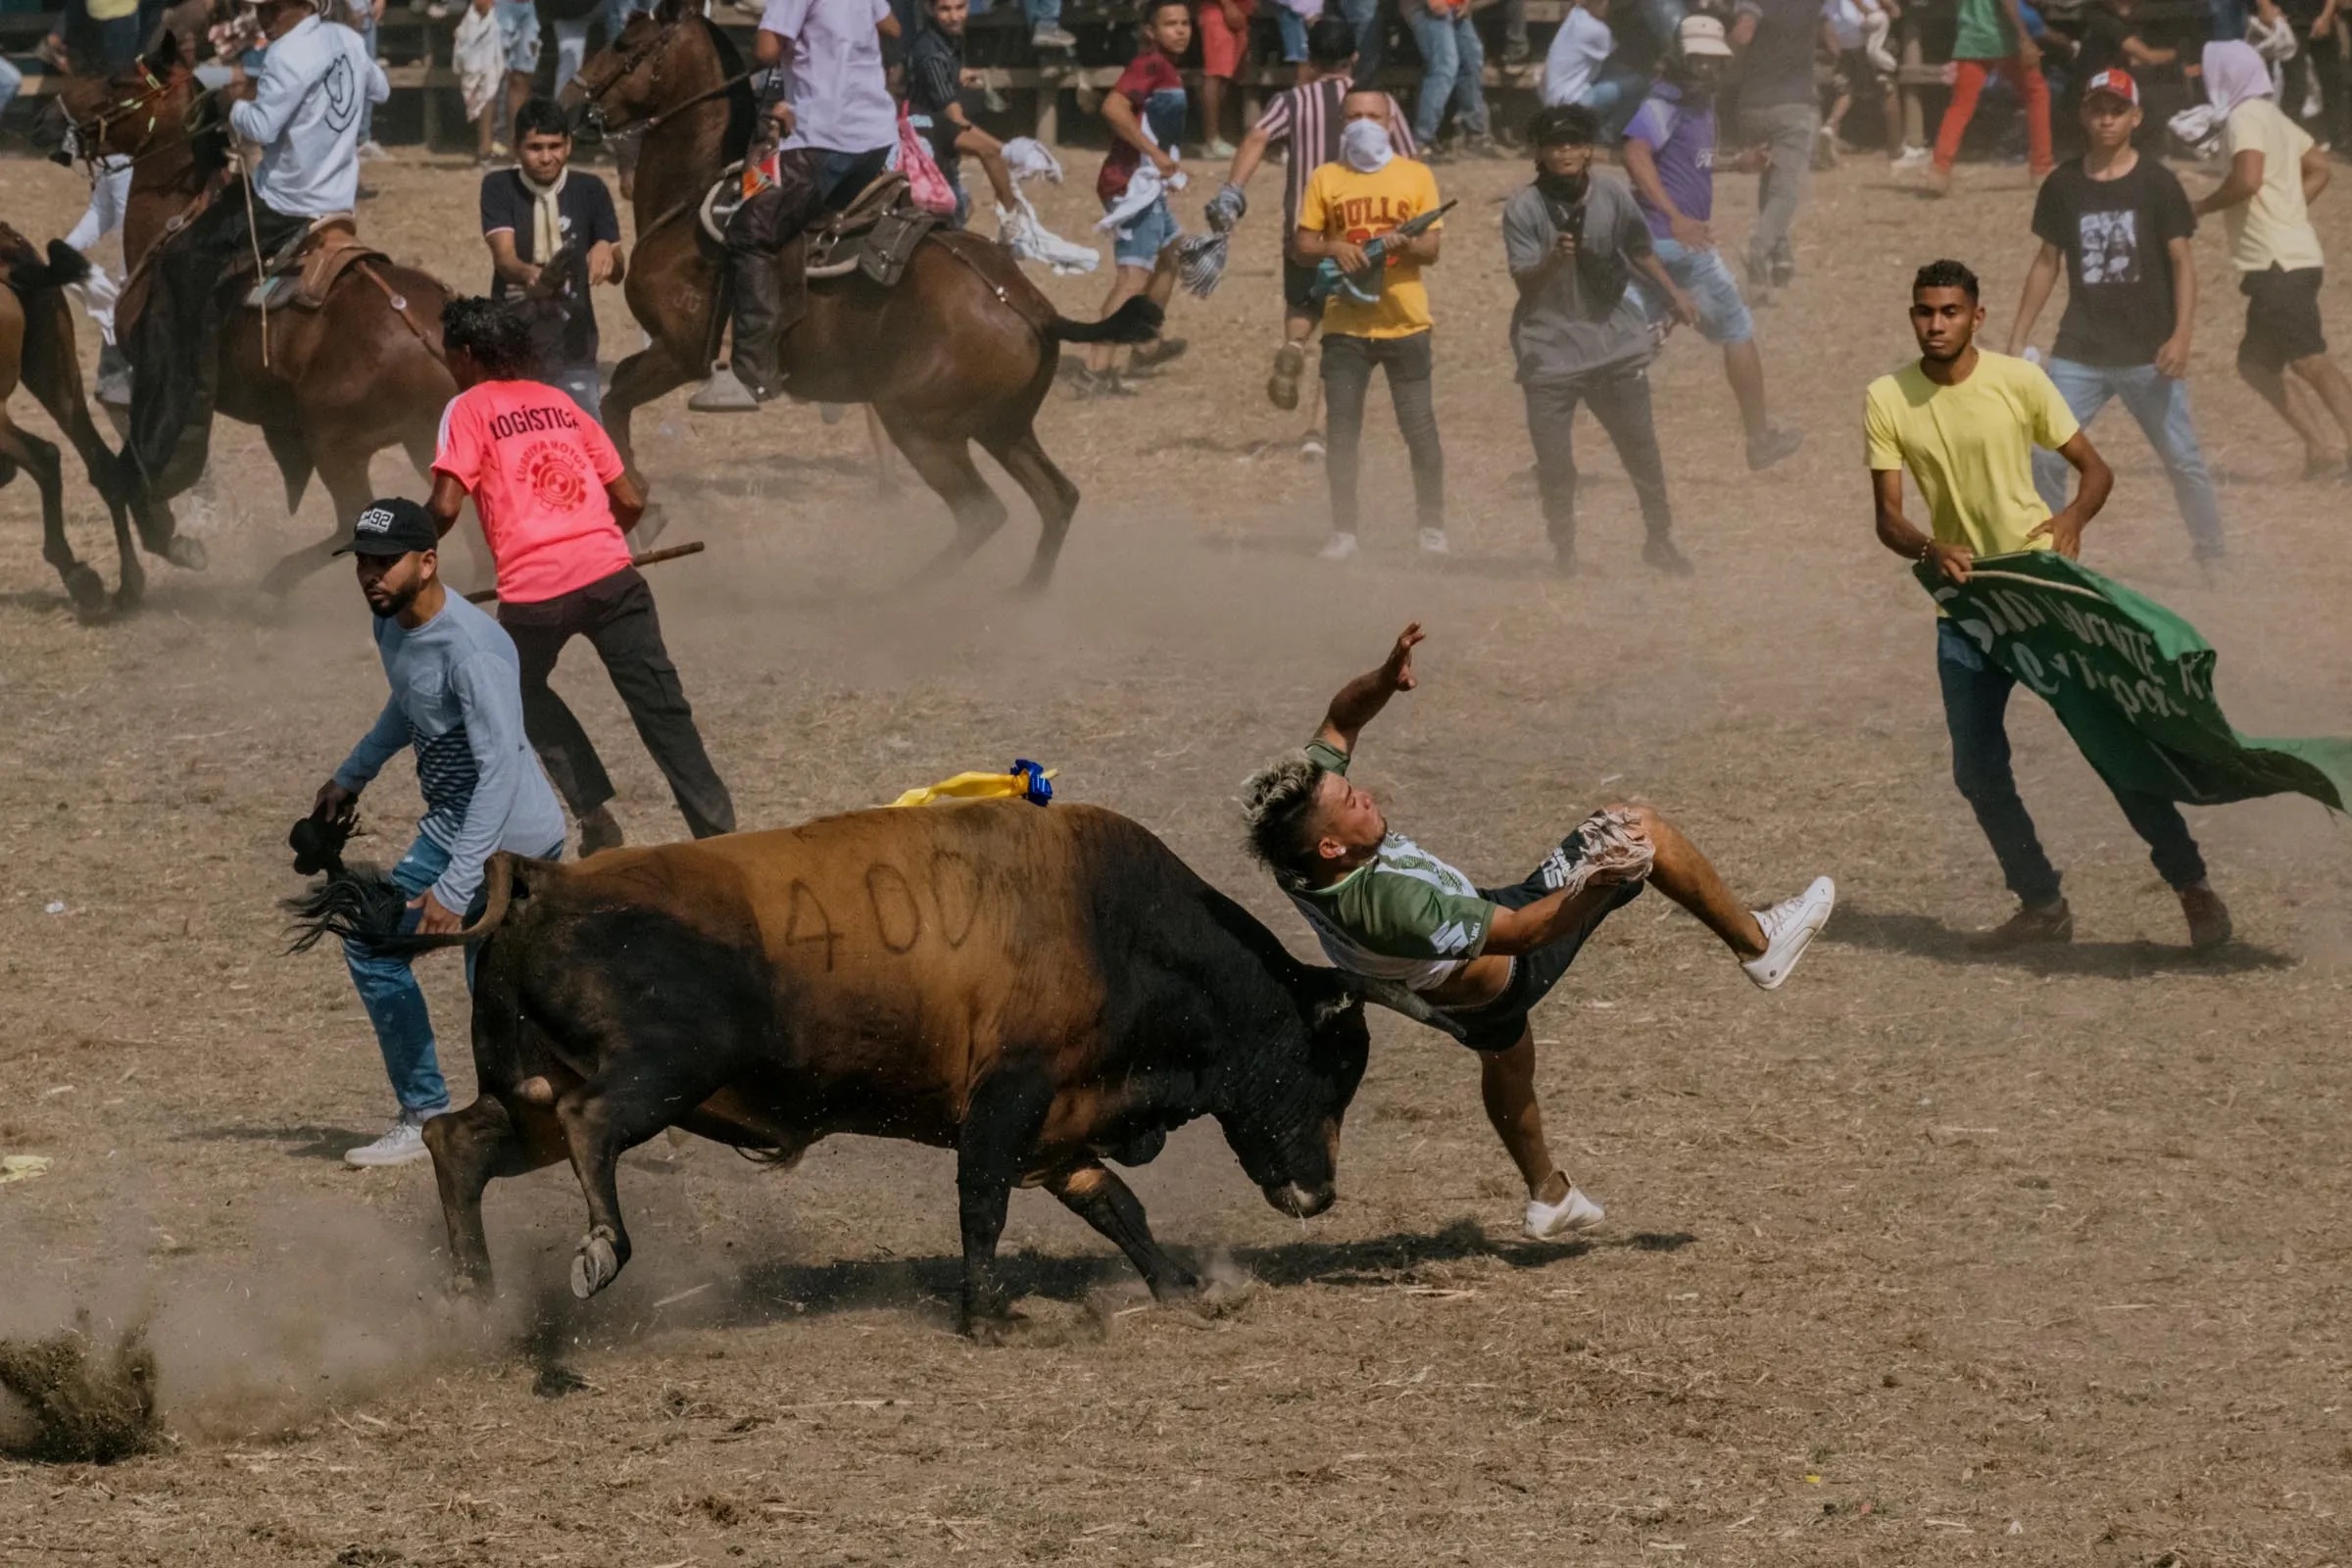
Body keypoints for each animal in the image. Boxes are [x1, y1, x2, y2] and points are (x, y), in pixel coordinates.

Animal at [294, 804, 1448, 1335]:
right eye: (1329, 1064)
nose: (1319, 1193)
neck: (1114, 925)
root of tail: (543, 881)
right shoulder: (1007, 1101)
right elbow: (982, 1205)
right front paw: (986, 1316)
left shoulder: (1062, 1125)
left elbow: (1114, 1204)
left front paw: (1172, 1285)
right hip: (656, 1073)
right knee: (591, 1132)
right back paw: (598, 1251)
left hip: (527, 1093)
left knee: (462, 1141)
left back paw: (473, 1290)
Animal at [568, 0, 1156, 587]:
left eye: (624, 44)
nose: (571, 102)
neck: (694, 198)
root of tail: (1029, 305)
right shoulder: (670, 352)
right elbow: (612, 397)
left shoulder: (680, 351)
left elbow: (613, 399)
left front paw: (644, 509)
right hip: (1004, 427)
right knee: (1057, 498)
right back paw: (1020, 596)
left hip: (922, 426)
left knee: (981, 510)